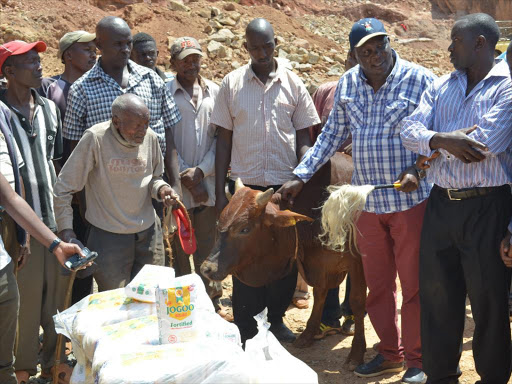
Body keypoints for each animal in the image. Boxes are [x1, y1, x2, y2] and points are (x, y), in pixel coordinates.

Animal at [202, 154, 366, 368]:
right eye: (218, 222)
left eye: (244, 229)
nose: (207, 268)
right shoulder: (319, 263)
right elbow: (320, 293)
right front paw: (308, 334)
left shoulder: (358, 263)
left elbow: (358, 301)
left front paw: (356, 353)